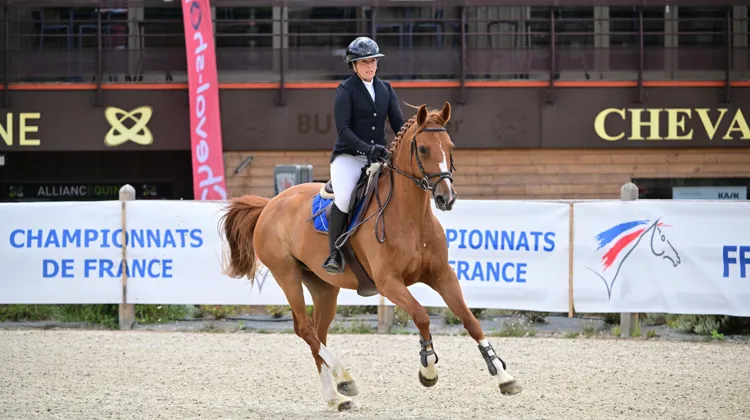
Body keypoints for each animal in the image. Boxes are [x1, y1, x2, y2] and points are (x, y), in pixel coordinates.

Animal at [219, 101, 523, 411]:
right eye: (424, 149)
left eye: (450, 147)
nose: (445, 198)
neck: (413, 218)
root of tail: (270, 204)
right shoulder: (389, 282)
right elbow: (421, 315)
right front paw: (428, 369)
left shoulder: (442, 275)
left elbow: (470, 320)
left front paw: (504, 376)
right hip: (287, 274)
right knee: (304, 328)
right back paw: (344, 378)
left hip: (323, 286)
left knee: (317, 332)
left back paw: (336, 398)